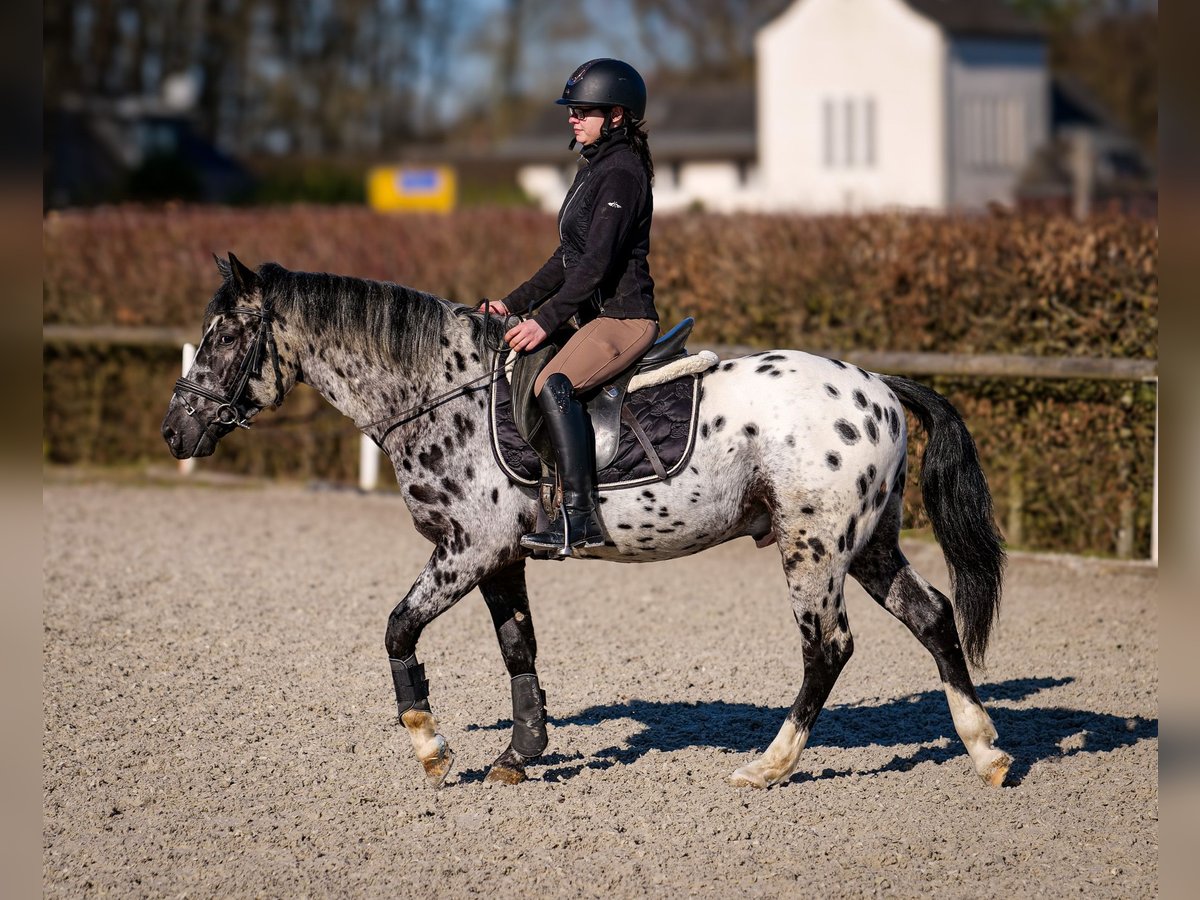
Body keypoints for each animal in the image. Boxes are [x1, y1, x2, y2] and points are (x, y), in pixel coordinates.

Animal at [162, 256, 1012, 792]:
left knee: (826, 648)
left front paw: (432, 747)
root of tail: (879, 384)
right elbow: (518, 649)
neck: (440, 391)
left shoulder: (467, 550)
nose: (175, 433)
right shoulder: (500, 557)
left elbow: (397, 629)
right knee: (932, 618)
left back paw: (769, 766)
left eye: (226, 337)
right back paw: (985, 752)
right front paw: (520, 753)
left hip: (814, 546)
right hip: (866, 545)